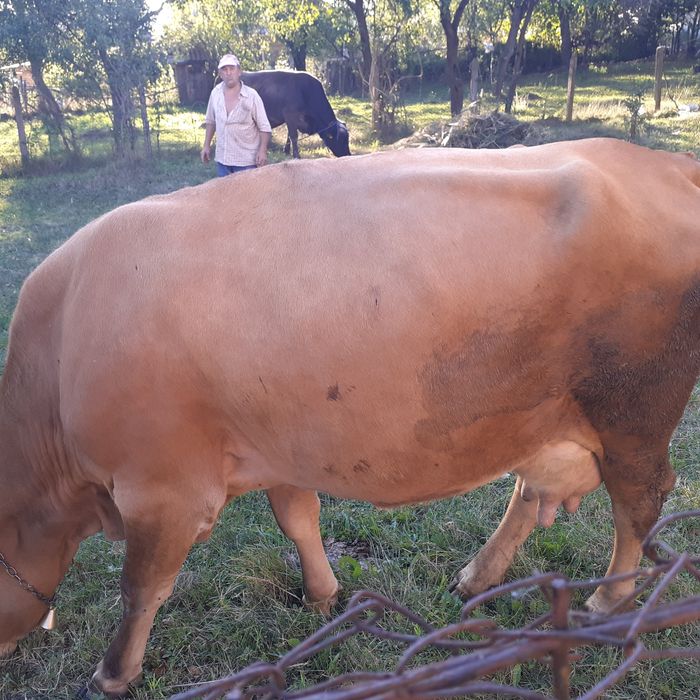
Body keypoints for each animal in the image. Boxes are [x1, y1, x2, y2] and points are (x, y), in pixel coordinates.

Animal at [1, 139, 699, 697]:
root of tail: (666, 162)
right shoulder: (276, 445)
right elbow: (298, 519)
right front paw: (322, 594)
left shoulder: (163, 491)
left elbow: (140, 588)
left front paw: (113, 674)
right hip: (540, 415)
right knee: (531, 493)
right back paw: (478, 577)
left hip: (635, 414)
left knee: (640, 502)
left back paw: (608, 600)